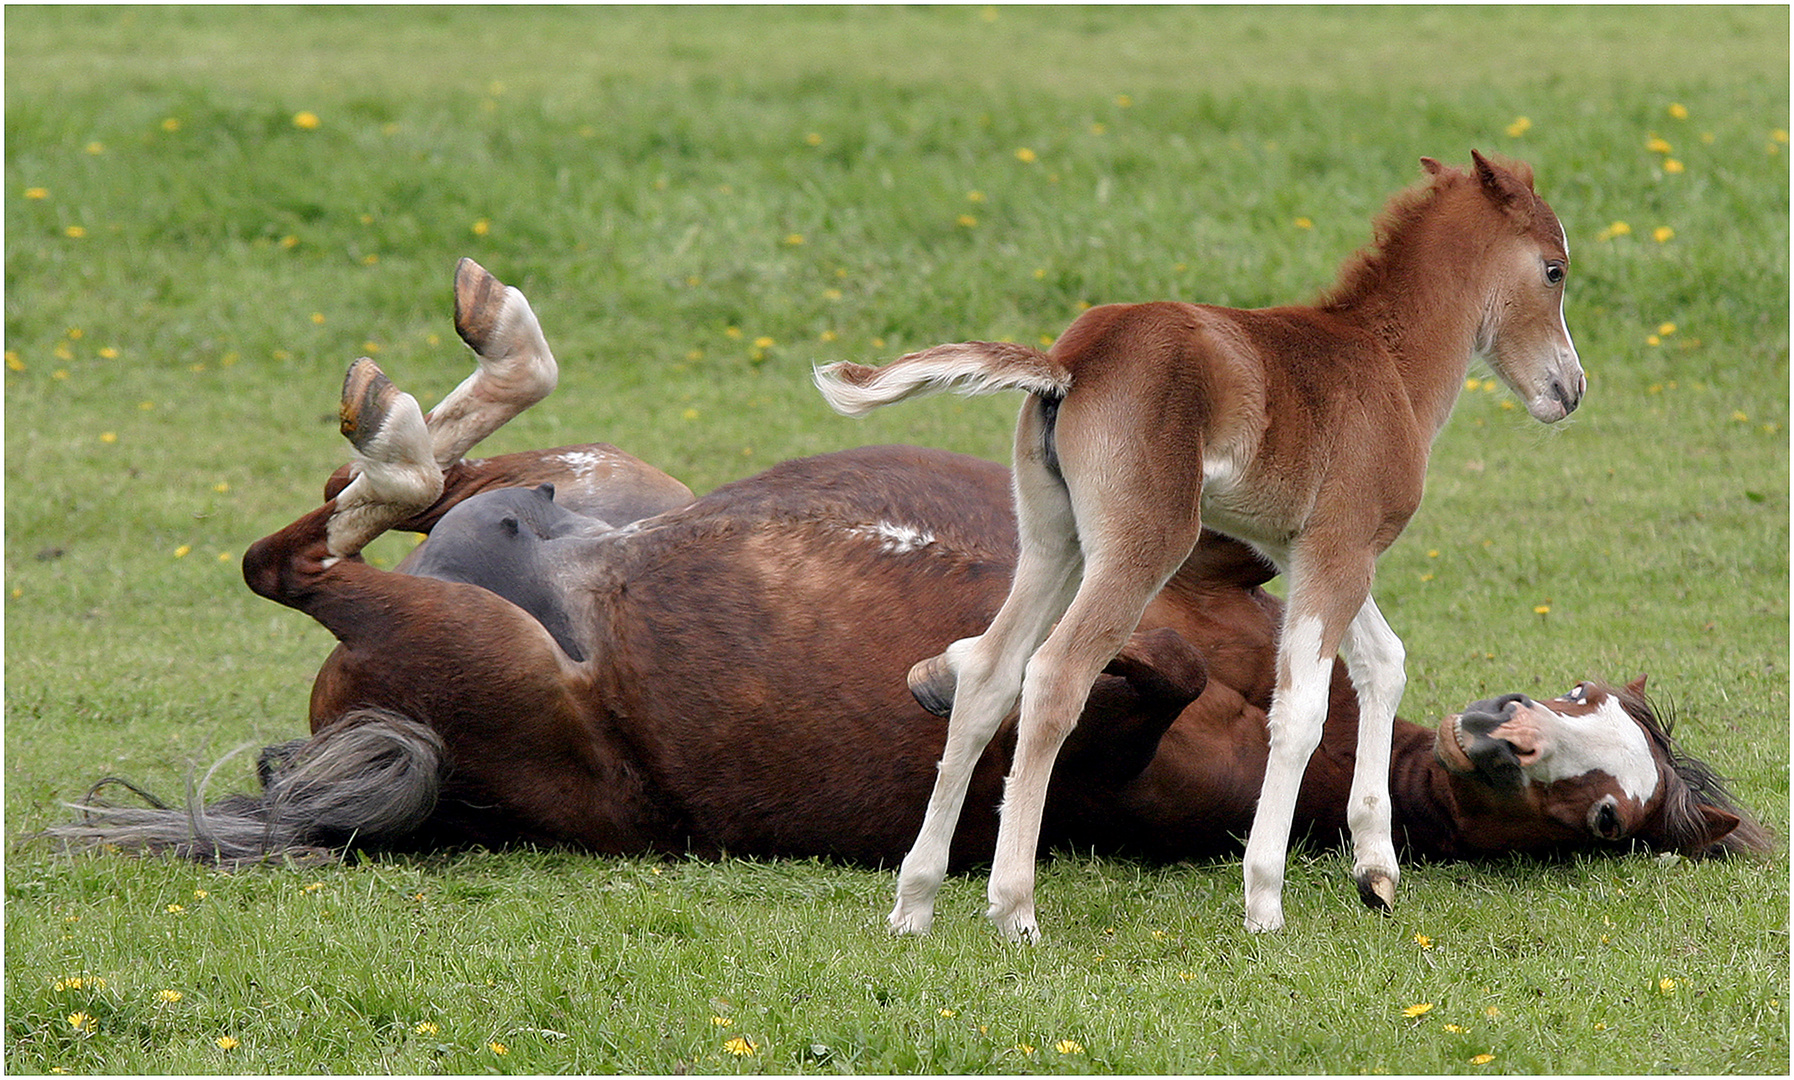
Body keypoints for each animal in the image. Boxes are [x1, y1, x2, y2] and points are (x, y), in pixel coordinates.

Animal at [45, 258, 1765, 875]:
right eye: (1581, 693)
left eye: (1609, 813)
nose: (1503, 734)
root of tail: (358, 720)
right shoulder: (1213, 549)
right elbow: (1184, 593)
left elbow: (1108, 683)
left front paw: (955, 674)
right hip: (601, 486)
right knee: (410, 489)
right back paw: (462, 374)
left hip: (486, 668)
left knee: (305, 556)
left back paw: (406, 438)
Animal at [814, 148, 1585, 932]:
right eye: (1555, 270)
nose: (1571, 388)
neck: (1388, 363)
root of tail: (1073, 360)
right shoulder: (1339, 549)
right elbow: (1302, 707)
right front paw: (1265, 900)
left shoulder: (1311, 549)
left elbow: (1384, 663)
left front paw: (1376, 870)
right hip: (1144, 542)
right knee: (1055, 675)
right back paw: (1014, 908)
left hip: (1054, 541)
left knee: (988, 671)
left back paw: (915, 902)